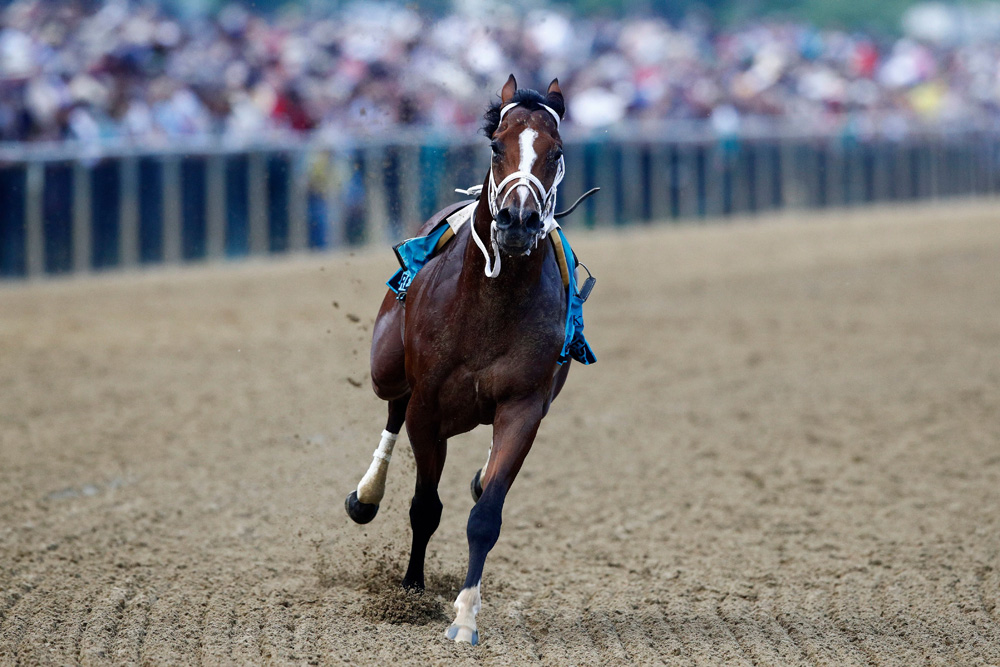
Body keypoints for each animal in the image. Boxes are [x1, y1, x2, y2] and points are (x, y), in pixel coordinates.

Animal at [344, 75, 592, 644]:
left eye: (556, 152)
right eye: (497, 146)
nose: (519, 219)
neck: (491, 305)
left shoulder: (523, 407)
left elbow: (485, 516)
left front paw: (464, 618)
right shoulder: (429, 406)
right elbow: (424, 506)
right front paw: (411, 589)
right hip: (387, 367)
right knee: (392, 408)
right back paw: (365, 496)